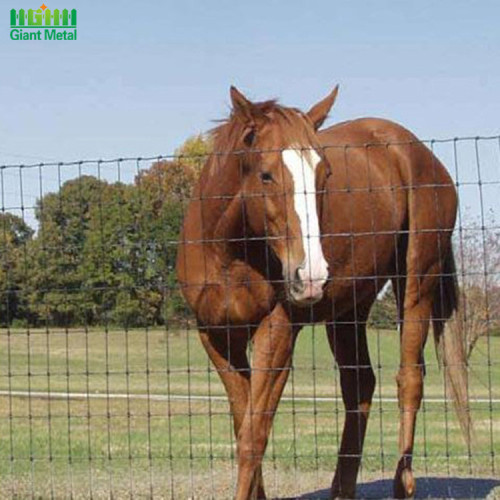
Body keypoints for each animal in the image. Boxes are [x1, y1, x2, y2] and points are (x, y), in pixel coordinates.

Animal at [177, 88, 468, 498]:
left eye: (324, 173)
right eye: (266, 174)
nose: (311, 275)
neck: (229, 252)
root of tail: (422, 155)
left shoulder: (278, 333)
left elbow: (254, 436)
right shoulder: (218, 337)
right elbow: (242, 423)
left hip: (416, 286)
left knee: (410, 380)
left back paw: (403, 484)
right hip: (349, 311)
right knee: (360, 386)